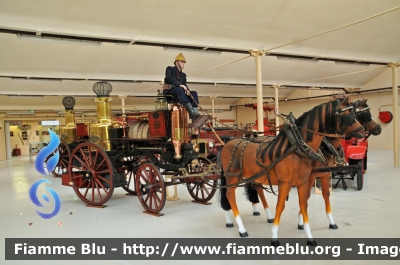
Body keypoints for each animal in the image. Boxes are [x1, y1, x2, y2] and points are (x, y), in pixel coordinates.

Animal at [219, 96, 366, 244]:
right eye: (347, 116)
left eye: (355, 114)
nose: (363, 132)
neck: (297, 147)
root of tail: (227, 143)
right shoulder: (287, 182)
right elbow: (280, 206)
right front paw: (274, 236)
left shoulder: (307, 180)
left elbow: (306, 203)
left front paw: (309, 235)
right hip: (232, 177)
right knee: (229, 194)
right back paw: (241, 228)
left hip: (253, 176)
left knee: (252, 191)